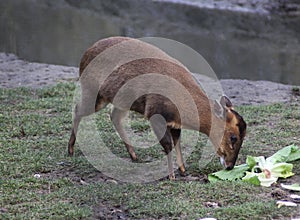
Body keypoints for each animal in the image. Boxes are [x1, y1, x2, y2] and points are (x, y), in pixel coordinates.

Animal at [68, 36, 246, 180]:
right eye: (233, 137)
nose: (230, 166)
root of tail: (85, 53)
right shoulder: (155, 114)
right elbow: (168, 145)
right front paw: (172, 176)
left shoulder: (174, 123)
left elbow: (177, 142)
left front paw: (183, 171)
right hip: (93, 92)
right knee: (77, 109)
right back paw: (70, 150)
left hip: (120, 100)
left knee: (114, 116)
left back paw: (134, 156)